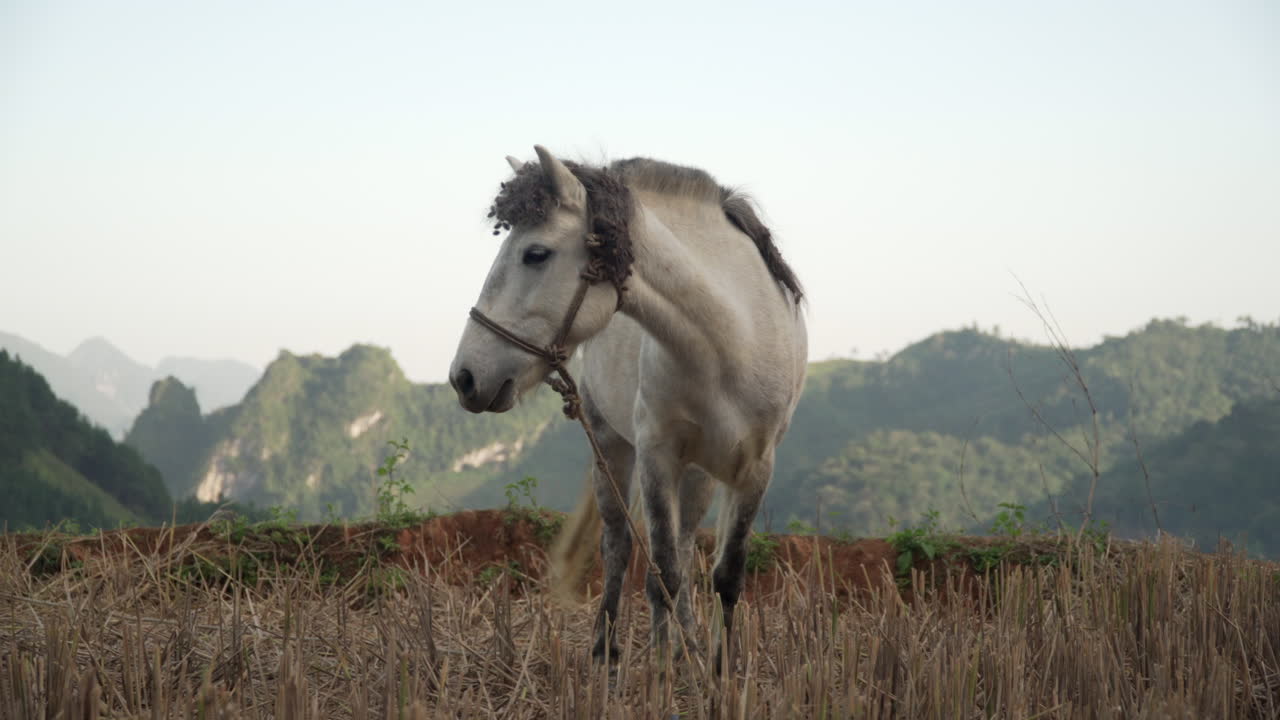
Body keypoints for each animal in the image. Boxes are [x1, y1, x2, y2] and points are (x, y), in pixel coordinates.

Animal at [448, 146, 807, 667]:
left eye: (536, 253)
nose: (465, 377)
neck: (730, 342)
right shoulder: (656, 456)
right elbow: (662, 576)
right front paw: (660, 671)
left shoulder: (755, 468)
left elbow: (725, 578)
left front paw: (717, 670)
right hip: (612, 446)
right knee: (617, 546)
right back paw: (607, 651)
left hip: (699, 473)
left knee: (683, 545)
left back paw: (688, 644)